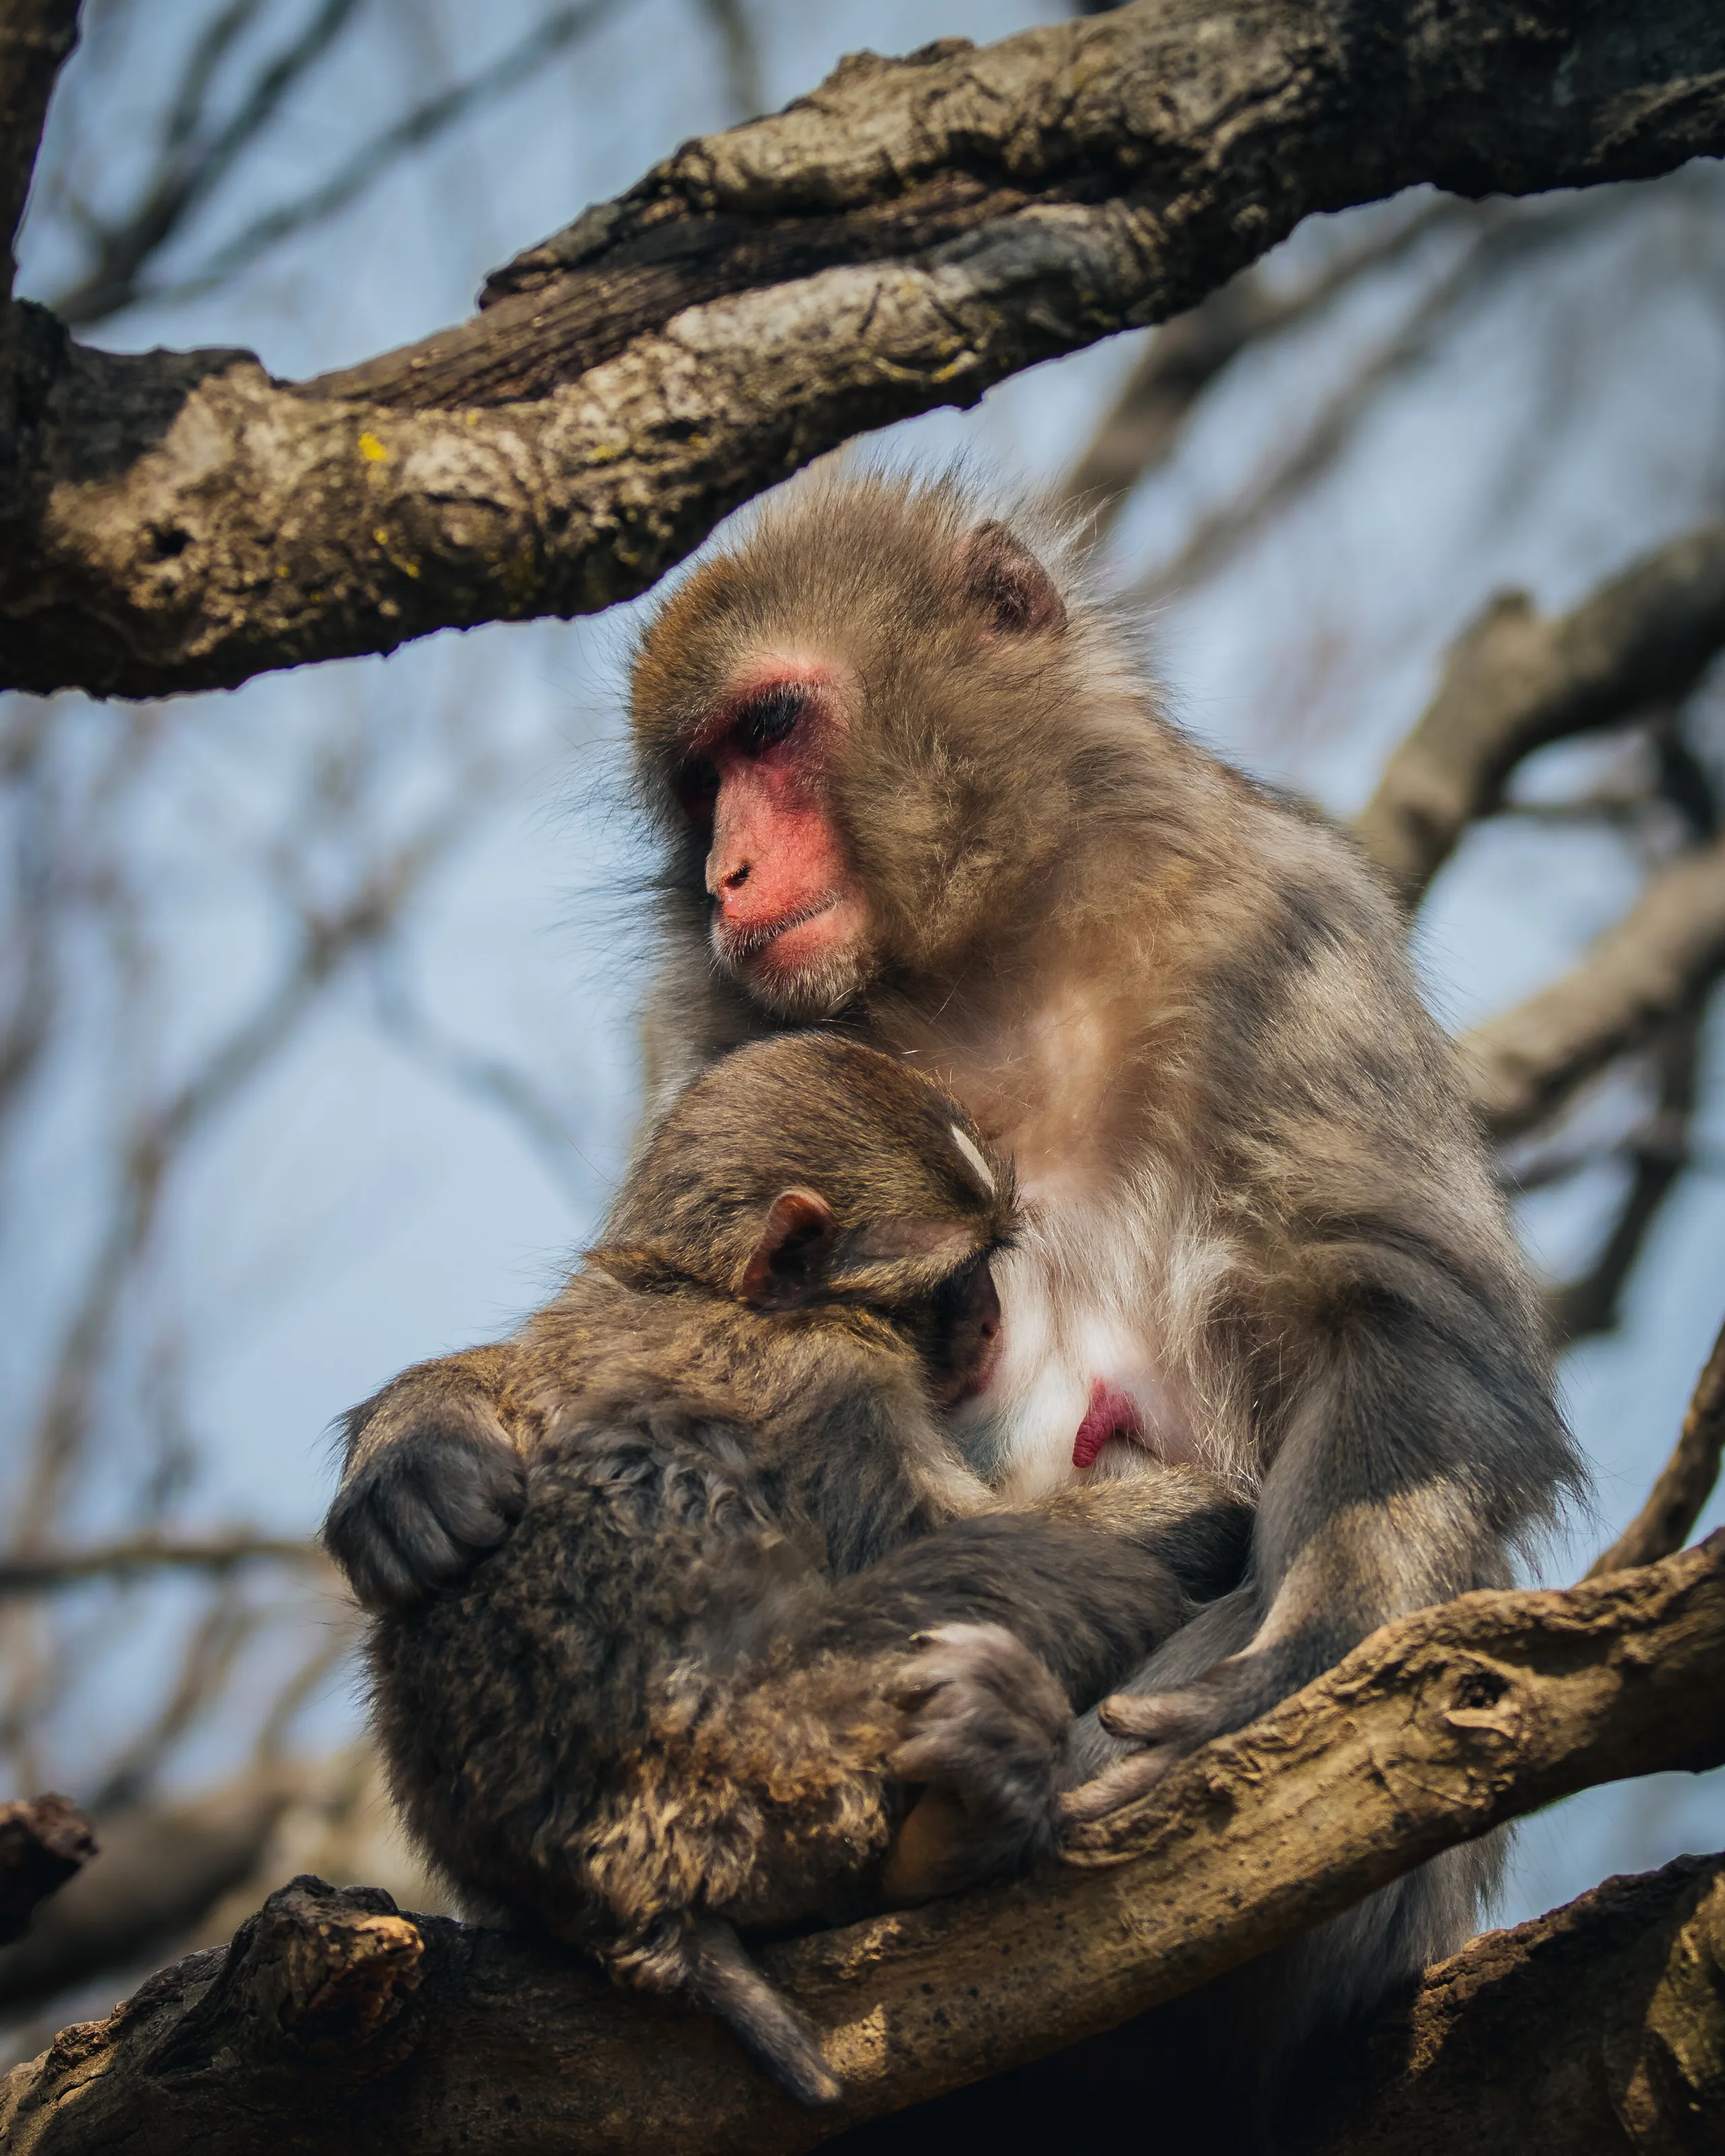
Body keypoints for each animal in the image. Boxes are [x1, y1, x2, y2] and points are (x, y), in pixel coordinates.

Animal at [341, 1033, 1252, 2106]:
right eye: (962, 1273)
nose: (991, 1320)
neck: (705, 1287)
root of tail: (621, 1899)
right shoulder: (831, 1381)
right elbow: (919, 1536)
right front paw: (1204, 1513)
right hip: (773, 1763)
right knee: (1049, 1574)